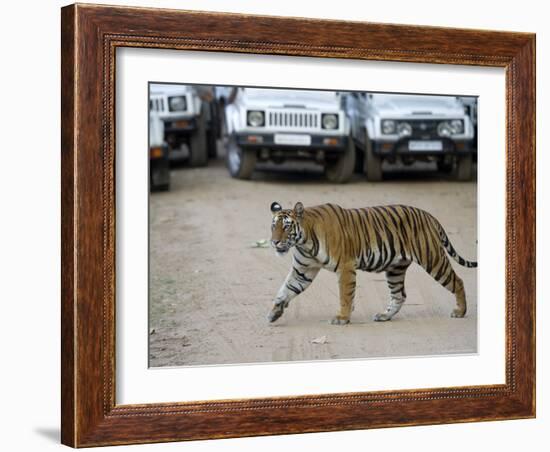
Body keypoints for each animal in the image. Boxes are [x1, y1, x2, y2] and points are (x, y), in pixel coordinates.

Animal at [268, 201, 478, 324]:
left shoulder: (345, 267)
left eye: (286, 227)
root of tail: (428, 215)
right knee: (399, 295)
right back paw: (384, 316)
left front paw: (342, 317)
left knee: (457, 281)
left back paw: (460, 311)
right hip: (395, 269)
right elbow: (285, 289)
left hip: (433, 259)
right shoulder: (303, 270)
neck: (305, 242)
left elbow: (345, 295)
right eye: (273, 226)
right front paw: (274, 312)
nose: (274, 242)